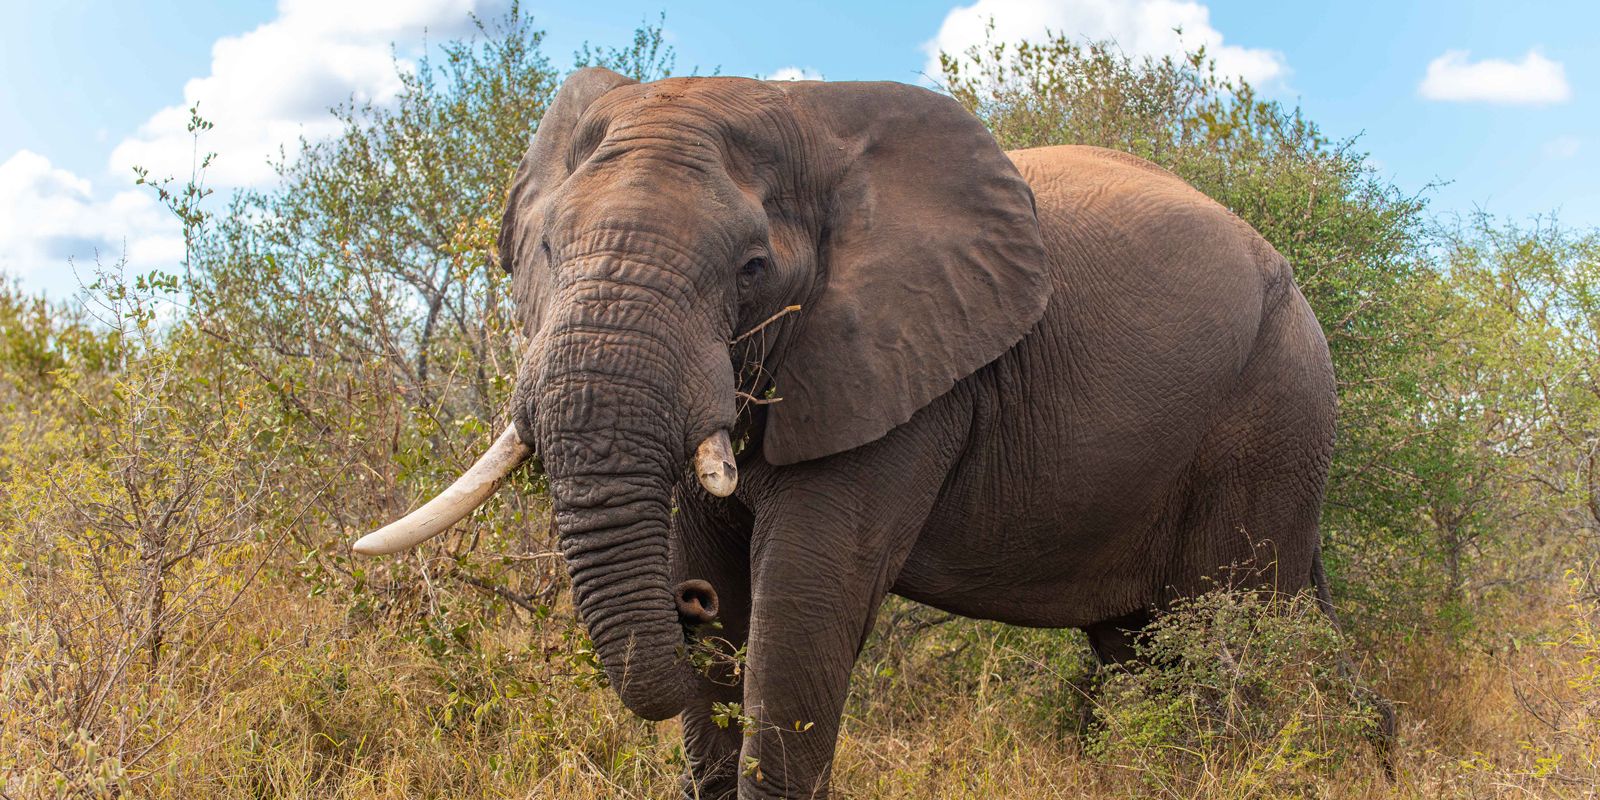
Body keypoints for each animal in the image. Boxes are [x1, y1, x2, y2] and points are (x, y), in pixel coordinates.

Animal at [351, 67, 1355, 798]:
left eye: (752, 268)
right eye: (549, 250)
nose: (689, 605)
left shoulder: (907, 368)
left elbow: (804, 607)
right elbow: (709, 559)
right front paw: (709, 591)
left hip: (1276, 406)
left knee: (1225, 642)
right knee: (1140, 648)